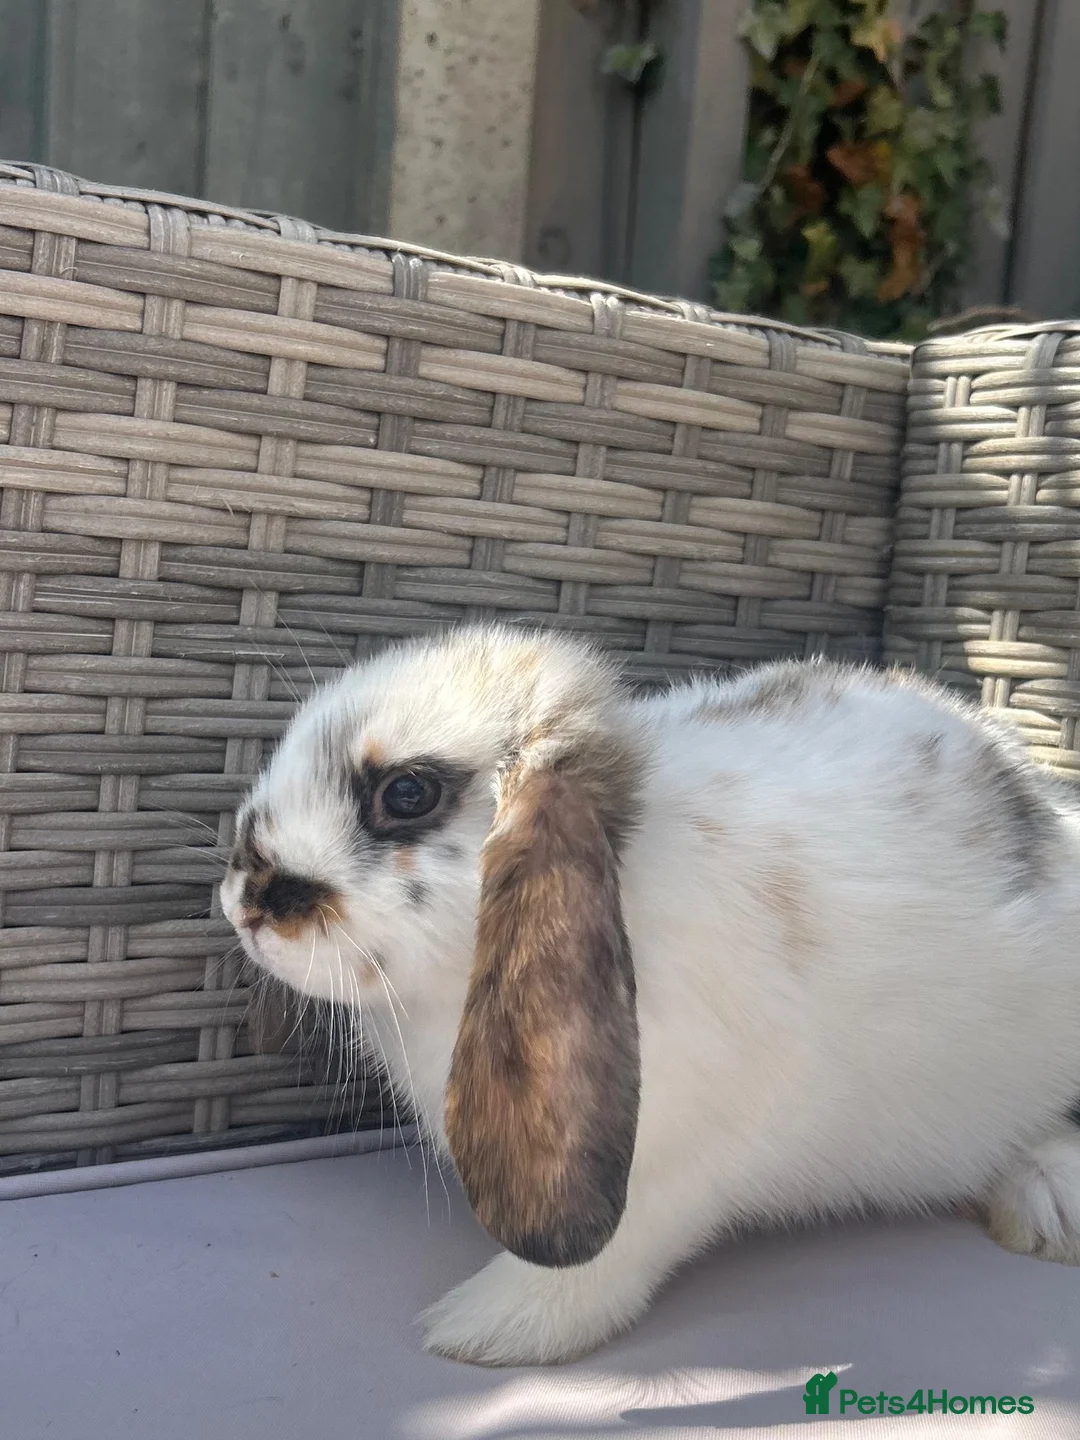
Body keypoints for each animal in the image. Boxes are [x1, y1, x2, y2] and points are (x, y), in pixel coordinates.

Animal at [220, 623, 1080, 1367]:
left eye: (406, 793)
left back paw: (1049, 1204)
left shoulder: (673, 1160)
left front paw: (486, 1327)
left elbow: (598, 1258)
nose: (245, 897)